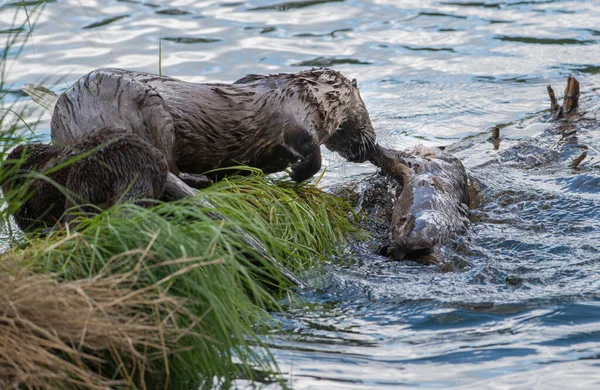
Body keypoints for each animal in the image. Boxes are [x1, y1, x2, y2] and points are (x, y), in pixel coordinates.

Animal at [50, 68, 376, 188]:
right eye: (367, 116)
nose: (371, 144)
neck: (309, 94)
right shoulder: (295, 115)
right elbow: (310, 148)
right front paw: (295, 174)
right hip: (152, 113)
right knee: (169, 165)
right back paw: (201, 179)